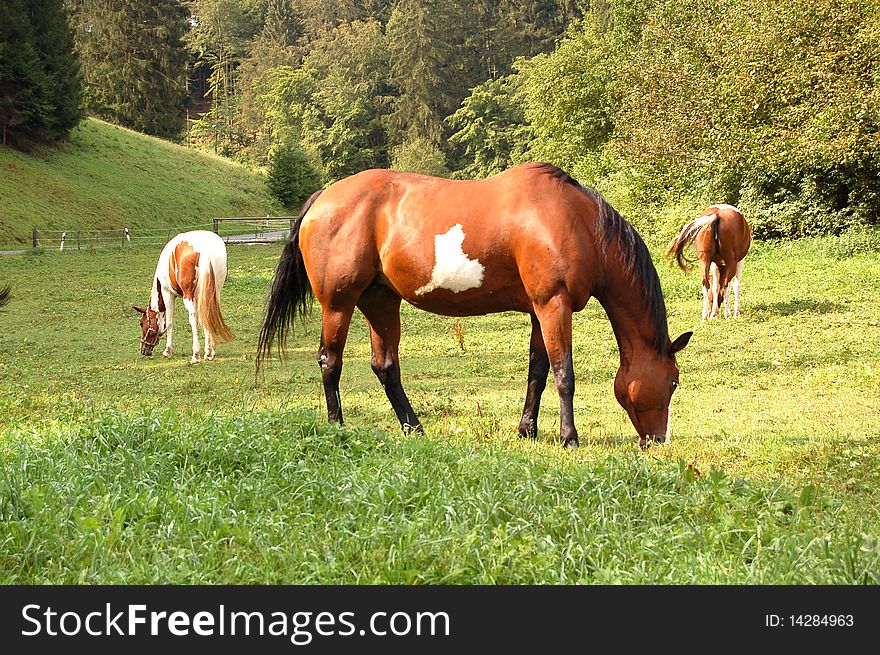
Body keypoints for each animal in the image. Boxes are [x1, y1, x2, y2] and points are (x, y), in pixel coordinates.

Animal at [134, 229, 234, 364]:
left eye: (141, 323)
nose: (143, 350)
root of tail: (204, 249)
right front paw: (209, 352)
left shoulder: (168, 294)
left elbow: (169, 322)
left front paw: (168, 351)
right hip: (214, 293)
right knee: (208, 315)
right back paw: (208, 353)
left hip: (188, 296)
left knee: (193, 319)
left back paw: (196, 355)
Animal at [258, 164, 692, 452]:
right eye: (673, 382)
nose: (658, 441)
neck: (577, 223)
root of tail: (323, 197)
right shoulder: (554, 304)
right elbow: (563, 373)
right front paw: (569, 437)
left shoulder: (538, 310)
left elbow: (537, 371)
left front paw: (528, 430)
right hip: (339, 303)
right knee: (330, 361)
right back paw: (338, 426)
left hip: (380, 301)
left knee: (385, 366)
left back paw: (414, 428)